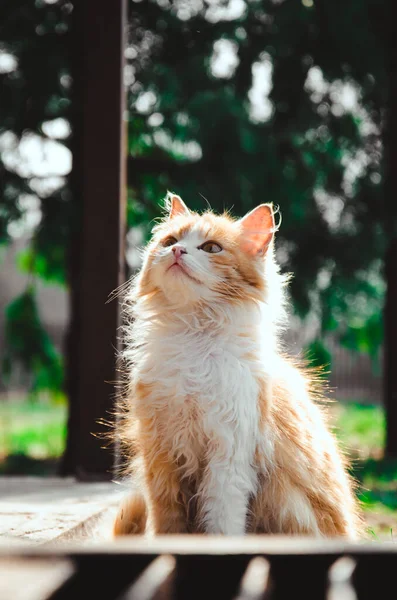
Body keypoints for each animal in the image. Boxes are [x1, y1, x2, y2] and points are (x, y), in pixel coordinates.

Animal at [112, 193, 362, 540]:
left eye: (211, 248)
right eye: (170, 241)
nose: (176, 252)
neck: (195, 336)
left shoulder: (229, 456)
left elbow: (222, 524)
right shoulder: (162, 455)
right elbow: (168, 525)